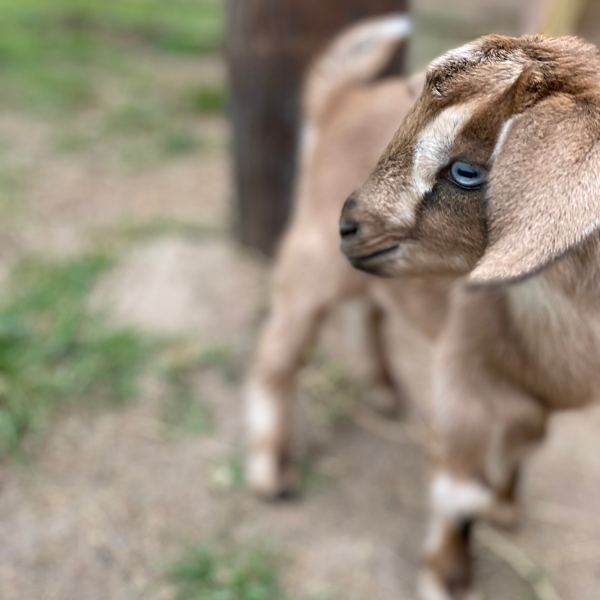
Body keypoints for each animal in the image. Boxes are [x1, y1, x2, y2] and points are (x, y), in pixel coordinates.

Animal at [244, 16, 450, 500]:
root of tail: (344, 97)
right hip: (314, 265)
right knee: (274, 355)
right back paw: (268, 466)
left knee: (365, 311)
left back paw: (383, 386)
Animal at [342, 35, 600, 600]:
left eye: (466, 173)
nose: (348, 225)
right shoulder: (466, 376)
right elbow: (460, 489)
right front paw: (447, 574)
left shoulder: (535, 394)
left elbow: (521, 447)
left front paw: (503, 508)